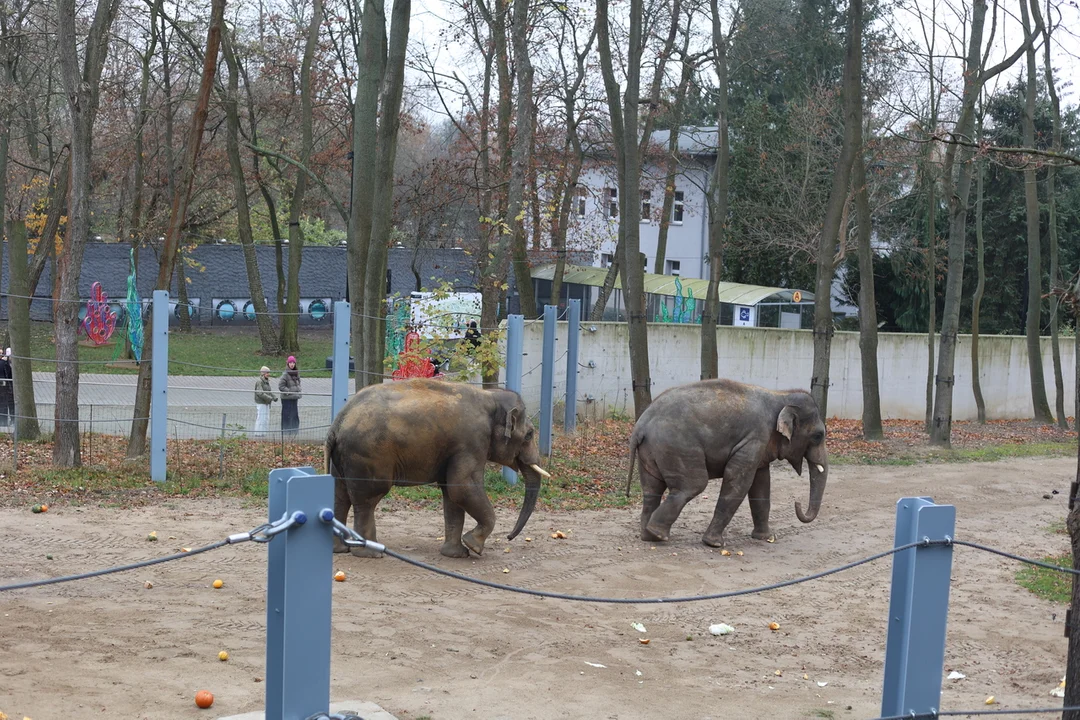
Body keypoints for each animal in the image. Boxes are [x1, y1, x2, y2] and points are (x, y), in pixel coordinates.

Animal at [321, 379, 548, 561]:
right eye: (529, 434)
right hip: (367, 454)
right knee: (367, 499)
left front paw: (456, 554)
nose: (509, 537)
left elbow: (452, 494)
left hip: (343, 459)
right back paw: (370, 554)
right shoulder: (472, 442)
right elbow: (463, 487)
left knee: (339, 495)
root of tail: (338, 422)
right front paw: (474, 547)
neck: (491, 397)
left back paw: (338, 549)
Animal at [626, 377, 825, 546]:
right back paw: (658, 534)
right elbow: (738, 480)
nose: (797, 503)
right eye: (818, 436)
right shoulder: (755, 437)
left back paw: (649, 536)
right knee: (692, 486)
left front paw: (766, 537)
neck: (780, 395)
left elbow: (761, 484)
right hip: (677, 447)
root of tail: (640, 426)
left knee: (652, 489)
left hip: (651, 451)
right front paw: (713, 543)